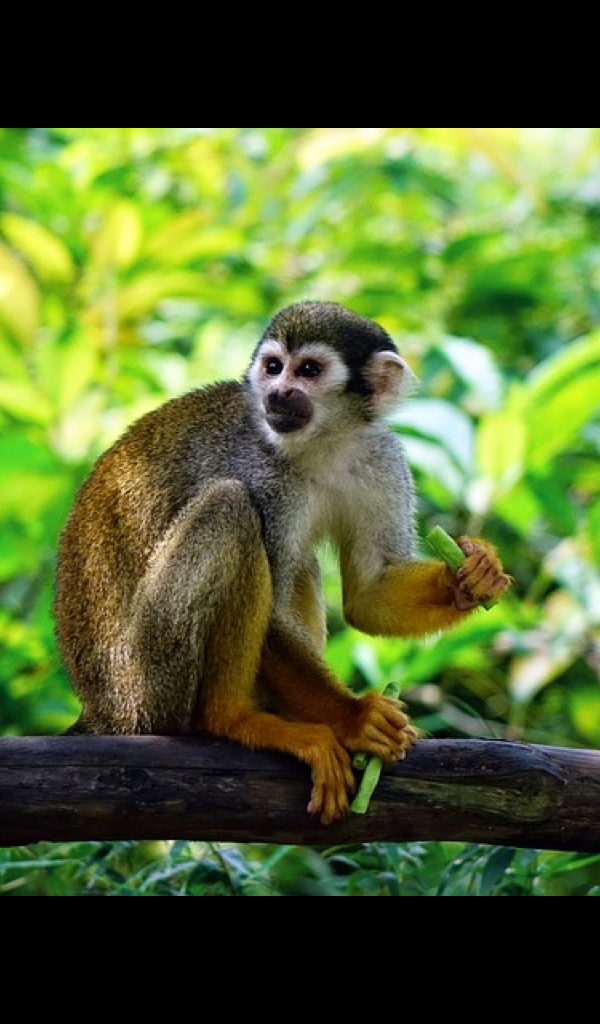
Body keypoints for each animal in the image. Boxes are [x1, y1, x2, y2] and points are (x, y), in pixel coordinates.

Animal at [55, 301, 511, 824]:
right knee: (231, 508)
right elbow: (271, 616)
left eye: (308, 371)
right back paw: (234, 720)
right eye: (273, 367)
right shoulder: (261, 472)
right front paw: (355, 718)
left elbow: (368, 595)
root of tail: (101, 710)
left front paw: (472, 576)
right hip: (148, 682)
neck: (323, 443)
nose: (277, 393)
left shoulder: (380, 457)